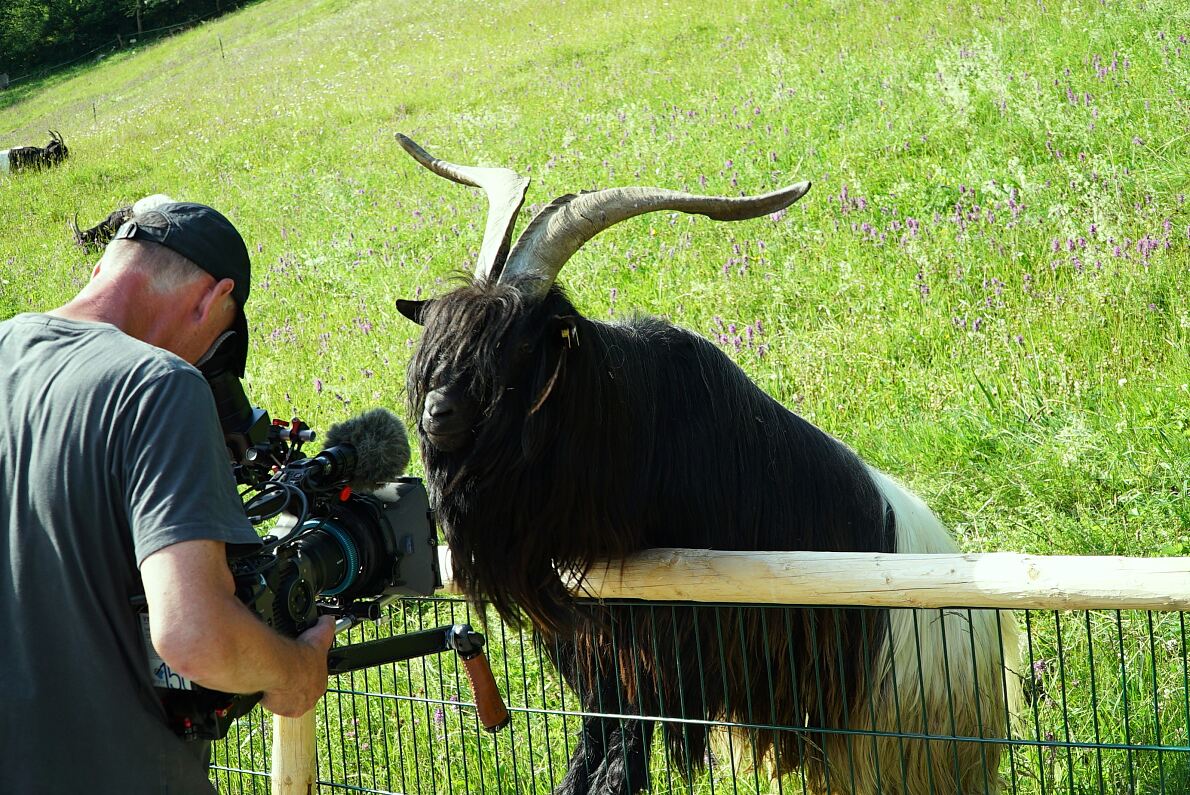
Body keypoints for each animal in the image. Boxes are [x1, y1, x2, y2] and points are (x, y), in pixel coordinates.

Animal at [395, 133, 1018, 790]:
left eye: (516, 346)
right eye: (442, 342)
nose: (437, 411)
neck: (625, 424)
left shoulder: (658, 650)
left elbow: (623, 754)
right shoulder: (600, 652)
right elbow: (597, 741)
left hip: (886, 745)